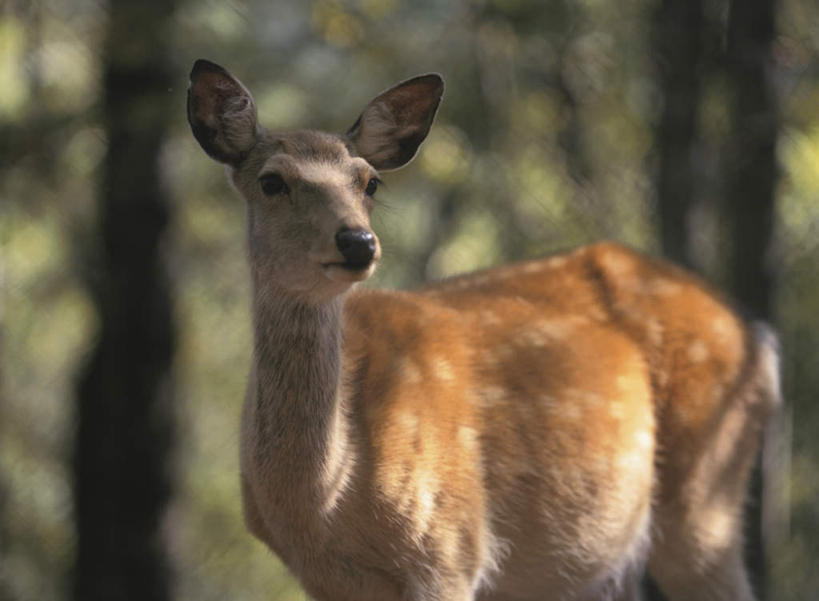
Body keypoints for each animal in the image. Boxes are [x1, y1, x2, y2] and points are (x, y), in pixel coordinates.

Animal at [186, 59, 780, 600]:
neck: (324, 499)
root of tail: (757, 334)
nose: (357, 242)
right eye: (271, 181)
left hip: (706, 496)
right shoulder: (325, 580)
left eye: (370, 182)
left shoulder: (452, 547)